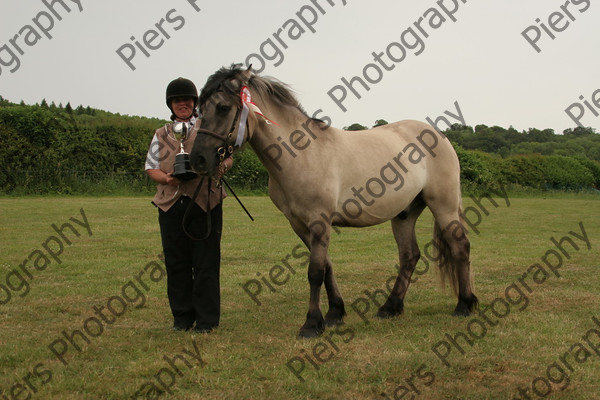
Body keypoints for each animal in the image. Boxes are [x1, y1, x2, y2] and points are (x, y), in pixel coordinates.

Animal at [189, 65, 478, 338]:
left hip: (444, 207)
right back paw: (390, 307)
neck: (301, 153)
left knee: (460, 246)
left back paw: (465, 305)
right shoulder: (299, 224)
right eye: (200, 110)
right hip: (404, 213)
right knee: (409, 255)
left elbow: (315, 271)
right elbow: (326, 266)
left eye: (223, 107)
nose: (198, 160)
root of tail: (439, 135)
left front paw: (311, 324)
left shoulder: (319, 220)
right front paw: (335, 313)